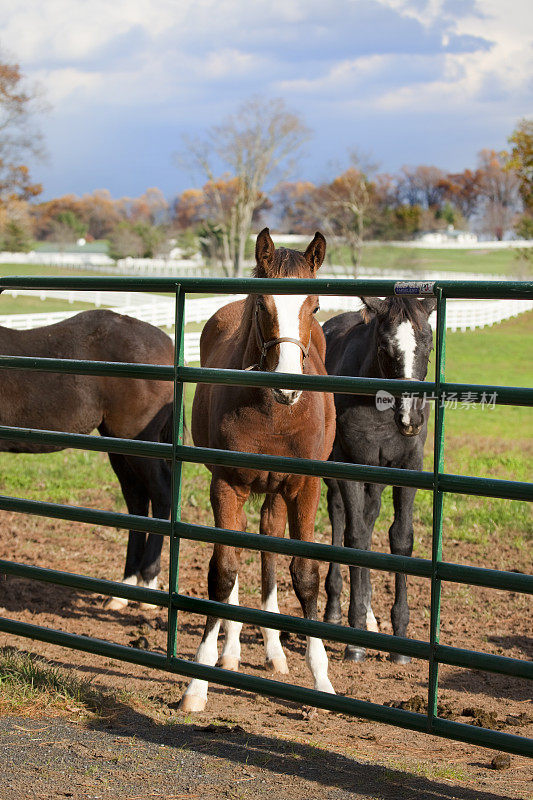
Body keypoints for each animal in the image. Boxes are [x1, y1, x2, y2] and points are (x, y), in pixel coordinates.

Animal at [0, 310, 174, 608]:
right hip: (120, 446)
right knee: (137, 501)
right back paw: (125, 587)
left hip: (141, 443)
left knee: (161, 495)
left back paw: (148, 583)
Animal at [181, 227, 334, 712]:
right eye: (264, 304)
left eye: (315, 307)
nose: (288, 387)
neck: (274, 414)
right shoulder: (227, 485)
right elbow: (224, 571)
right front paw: (198, 683)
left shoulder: (304, 487)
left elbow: (305, 576)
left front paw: (321, 680)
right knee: (241, 548)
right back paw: (231, 652)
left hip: (276, 492)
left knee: (268, 542)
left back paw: (274, 652)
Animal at [322, 296, 434, 664]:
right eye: (385, 347)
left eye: (428, 345)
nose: (412, 419)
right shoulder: (351, 465)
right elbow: (355, 538)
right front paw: (354, 641)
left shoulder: (408, 466)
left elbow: (401, 539)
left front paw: (400, 638)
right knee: (341, 518)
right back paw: (335, 609)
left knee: (369, 518)